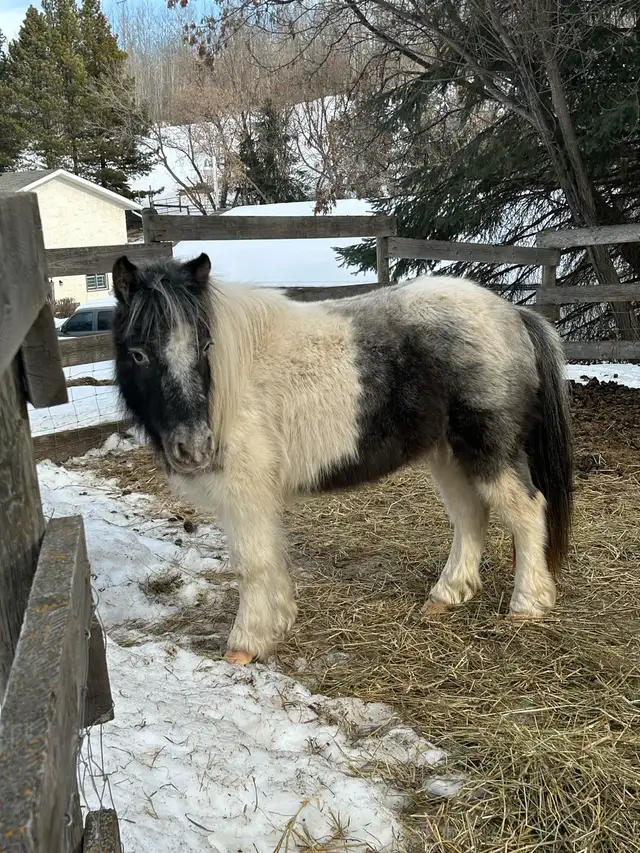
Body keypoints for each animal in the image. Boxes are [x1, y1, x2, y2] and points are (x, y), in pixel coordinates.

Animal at [110, 252, 573, 665]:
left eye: (205, 345)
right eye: (138, 353)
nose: (193, 447)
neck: (230, 382)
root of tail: (512, 313)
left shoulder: (245, 494)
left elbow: (252, 564)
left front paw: (245, 644)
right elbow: (273, 556)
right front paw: (280, 622)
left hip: (489, 452)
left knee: (527, 511)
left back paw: (527, 605)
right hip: (448, 456)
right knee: (470, 516)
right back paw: (446, 595)